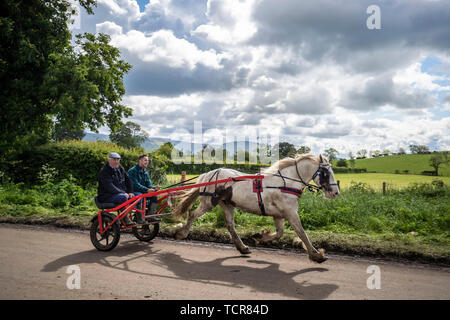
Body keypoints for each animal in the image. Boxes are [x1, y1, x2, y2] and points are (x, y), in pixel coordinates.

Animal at [172, 154, 338, 262]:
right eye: (326, 173)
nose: (336, 192)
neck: (285, 183)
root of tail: (209, 174)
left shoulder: (280, 215)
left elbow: (279, 234)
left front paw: (260, 236)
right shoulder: (291, 213)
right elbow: (302, 233)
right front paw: (316, 255)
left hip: (227, 204)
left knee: (230, 225)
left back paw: (242, 247)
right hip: (208, 202)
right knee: (192, 215)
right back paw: (181, 233)